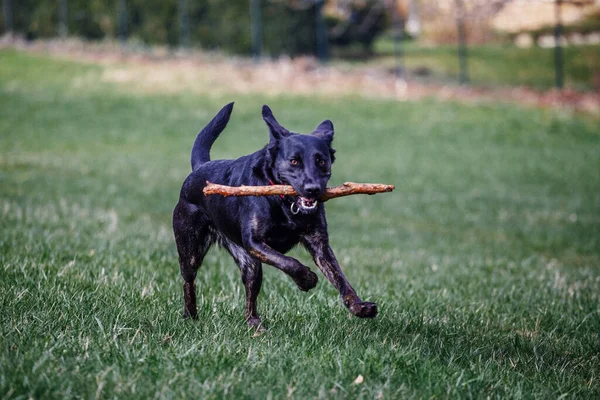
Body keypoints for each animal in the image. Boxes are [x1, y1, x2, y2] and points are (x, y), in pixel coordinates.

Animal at [173, 103, 378, 328]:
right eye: (294, 161)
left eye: (321, 161)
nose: (313, 189)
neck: (286, 204)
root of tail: (200, 167)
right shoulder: (255, 242)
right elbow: (288, 262)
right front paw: (307, 279)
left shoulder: (319, 245)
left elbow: (340, 278)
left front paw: (358, 306)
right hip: (191, 250)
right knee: (188, 282)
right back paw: (190, 316)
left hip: (249, 263)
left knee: (250, 291)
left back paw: (254, 323)